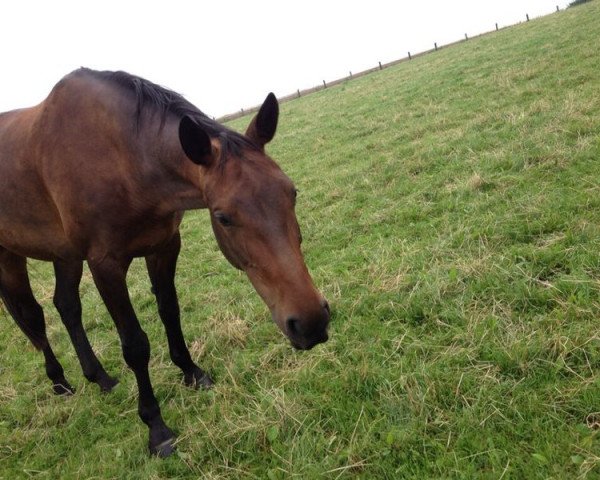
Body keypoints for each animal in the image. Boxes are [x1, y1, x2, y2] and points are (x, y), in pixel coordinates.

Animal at [0, 68, 328, 458]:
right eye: (223, 217)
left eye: (292, 192)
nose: (311, 322)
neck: (123, 157)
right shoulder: (105, 264)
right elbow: (135, 345)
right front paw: (156, 428)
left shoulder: (164, 246)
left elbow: (170, 312)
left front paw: (192, 372)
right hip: (11, 258)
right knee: (33, 318)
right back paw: (60, 382)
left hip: (63, 254)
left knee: (66, 306)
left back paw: (101, 378)